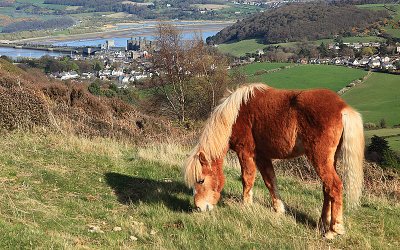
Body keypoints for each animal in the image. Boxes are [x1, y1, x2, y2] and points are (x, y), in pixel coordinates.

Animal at [183, 83, 364, 238]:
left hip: (319, 159)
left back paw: (334, 230)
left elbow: (247, 179)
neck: (235, 115)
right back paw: (322, 223)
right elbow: (270, 181)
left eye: (201, 180)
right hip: (330, 160)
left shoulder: (245, 152)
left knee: (334, 186)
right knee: (327, 189)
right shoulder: (262, 156)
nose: (199, 207)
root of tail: (342, 106)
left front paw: (246, 206)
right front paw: (278, 209)